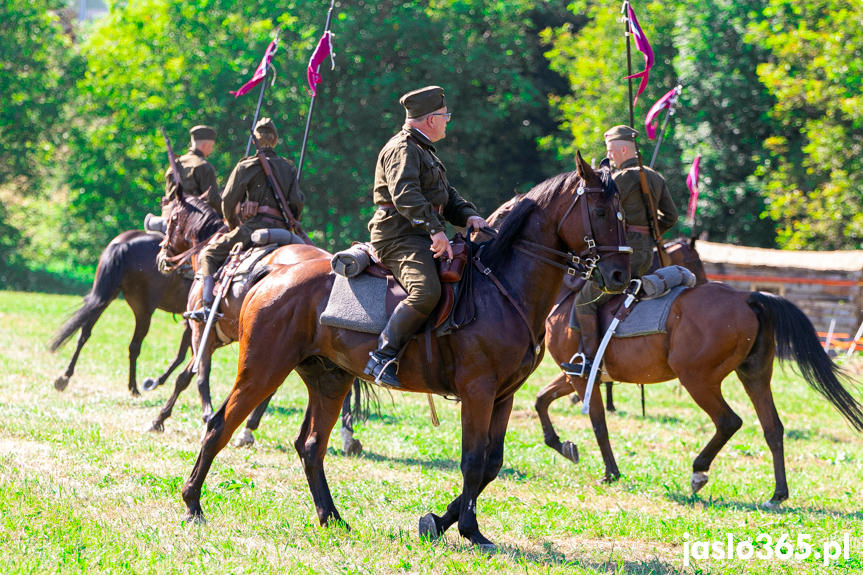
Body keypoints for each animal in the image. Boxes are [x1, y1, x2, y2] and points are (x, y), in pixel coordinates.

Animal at [50, 228, 194, 396]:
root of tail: (124, 244)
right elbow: (187, 355)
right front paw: (158, 381)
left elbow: (184, 354)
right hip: (143, 312)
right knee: (134, 347)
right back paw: (133, 387)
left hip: (105, 297)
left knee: (84, 333)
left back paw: (65, 377)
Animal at [179, 155, 632, 552]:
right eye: (600, 210)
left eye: (622, 213)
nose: (618, 276)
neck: (502, 286)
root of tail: (272, 273)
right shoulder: (478, 393)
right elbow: (472, 462)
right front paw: (468, 530)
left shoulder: (504, 396)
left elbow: (491, 463)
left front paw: (438, 522)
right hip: (262, 369)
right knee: (220, 425)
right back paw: (192, 503)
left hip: (330, 380)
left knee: (311, 445)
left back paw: (331, 516)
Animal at [536, 264, 860, 506]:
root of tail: (745, 297)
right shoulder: (573, 375)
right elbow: (541, 399)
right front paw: (560, 444)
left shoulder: (580, 377)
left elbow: (598, 423)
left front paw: (610, 472)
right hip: (754, 376)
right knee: (773, 428)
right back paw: (777, 494)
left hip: (697, 379)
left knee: (729, 421)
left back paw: (699, 471)